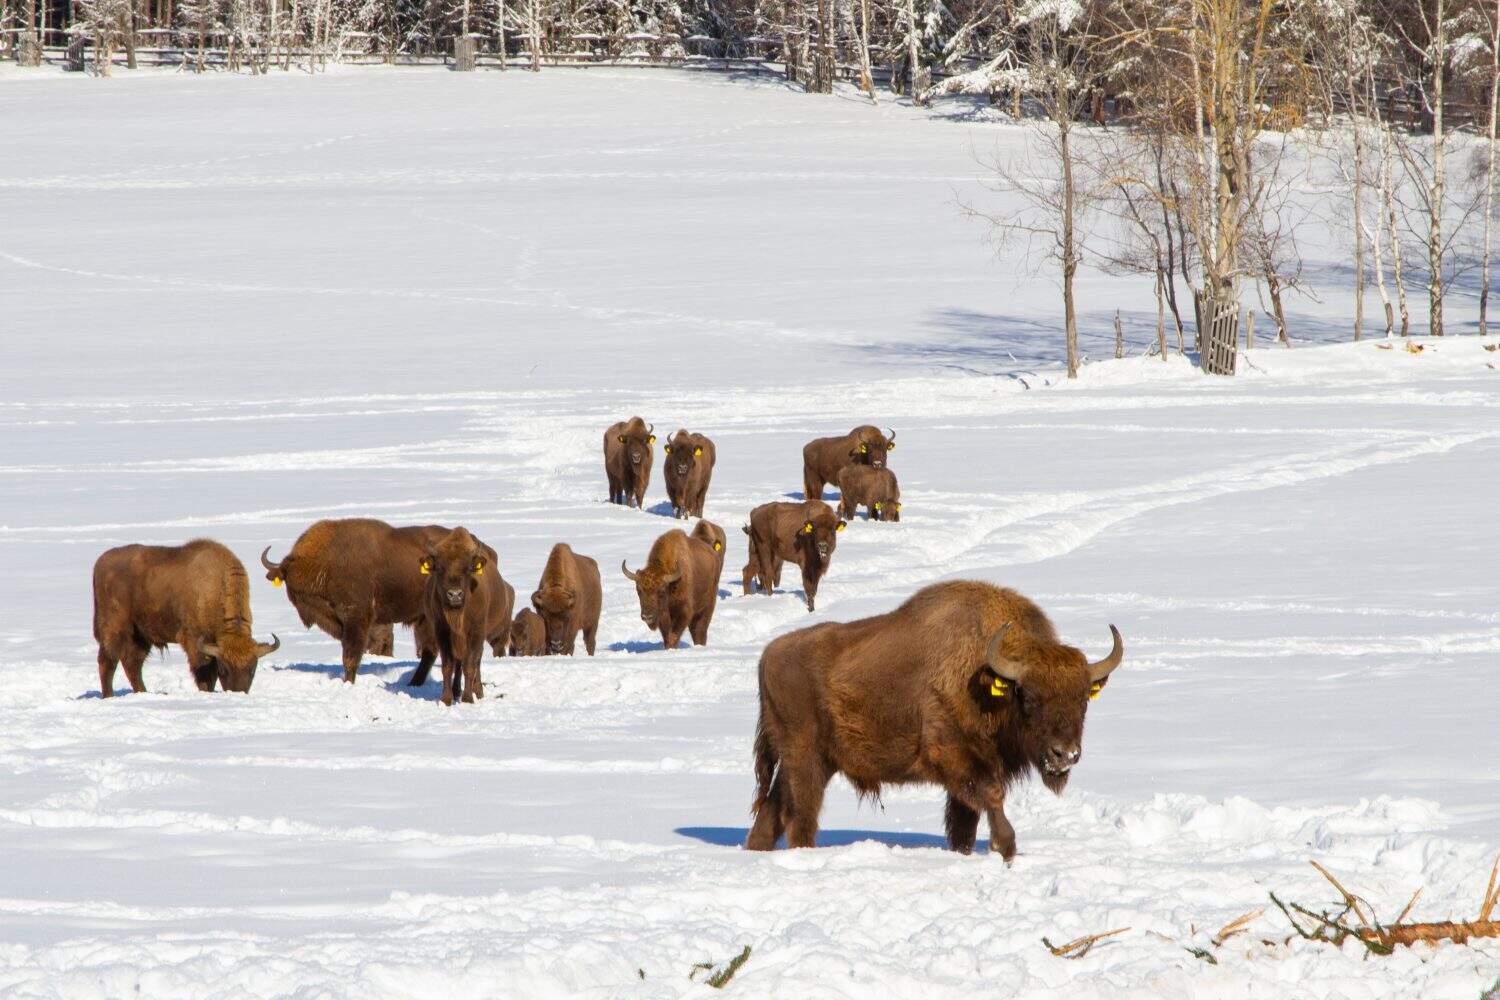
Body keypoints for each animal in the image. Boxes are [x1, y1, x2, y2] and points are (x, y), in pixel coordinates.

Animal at [93, 539, 280, 696]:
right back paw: (108, 696)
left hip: (141, 635)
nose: (238, 692)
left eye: (253, 669)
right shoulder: (195, 642)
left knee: (132, 664)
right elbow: (205, 677)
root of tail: (101, 562)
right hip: (115, 627)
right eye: (224, 669)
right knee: (108, 661)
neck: (216, 588)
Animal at [262, 518, 444, 685]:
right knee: (429, 651)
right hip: (424, 620)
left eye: (309, 584)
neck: (325, 567)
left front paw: (348, 683)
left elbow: (350, 657)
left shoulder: (355, 620)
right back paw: (413, 683)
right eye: (291, 583)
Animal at [418, 526, 514, 705]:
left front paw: (468, 699)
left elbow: (470, 665)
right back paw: (456, 691)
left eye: (467, 569)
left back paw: (478, 691)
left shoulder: (475, 632)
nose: (455, 595)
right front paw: (446, 699)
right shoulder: (443, 632)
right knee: (458, 663)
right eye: (439, 568)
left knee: (475, 661)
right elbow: (448, 666)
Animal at [746, 581, 1123, 859]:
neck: (987, 677)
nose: (1065, 754)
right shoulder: (955, 757)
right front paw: (1007, 847)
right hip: (805, 760)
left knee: (771, 813)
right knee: (800, 818)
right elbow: (991, 794)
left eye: (1082, 699)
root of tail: (767, 656)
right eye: (1028, 697)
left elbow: (964, 822)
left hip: (810, 762)